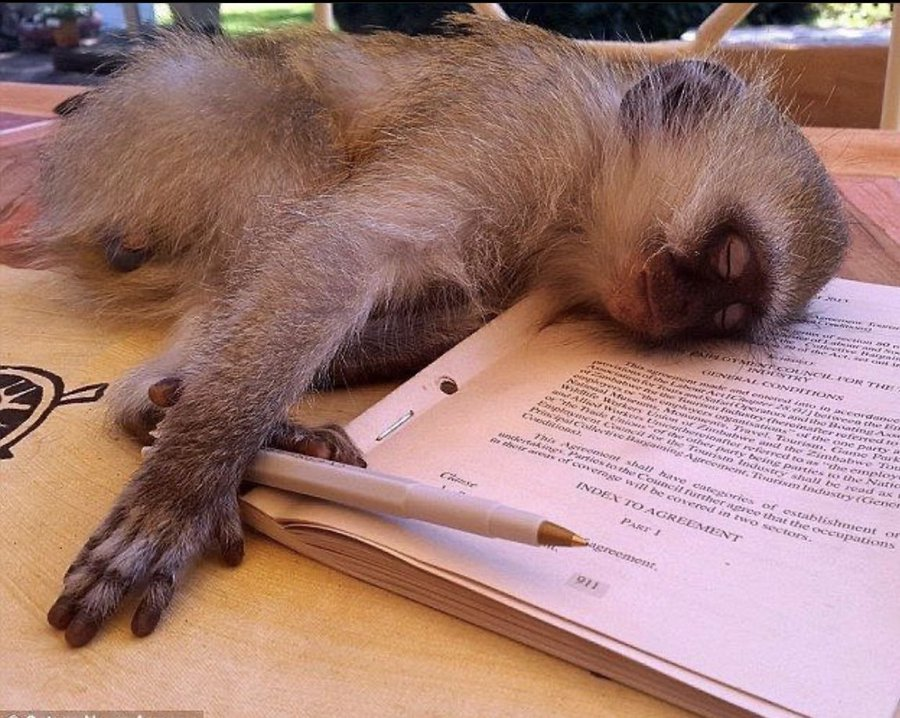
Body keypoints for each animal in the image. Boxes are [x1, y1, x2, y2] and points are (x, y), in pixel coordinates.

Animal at [5, 15, 848, 647]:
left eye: (726, 317)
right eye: (729, 257)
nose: (675, 313)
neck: (581, 184)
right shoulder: (519, 126)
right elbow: (342, 250)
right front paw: (183, 484)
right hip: (168, 126)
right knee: (286, 139)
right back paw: (168, 406)